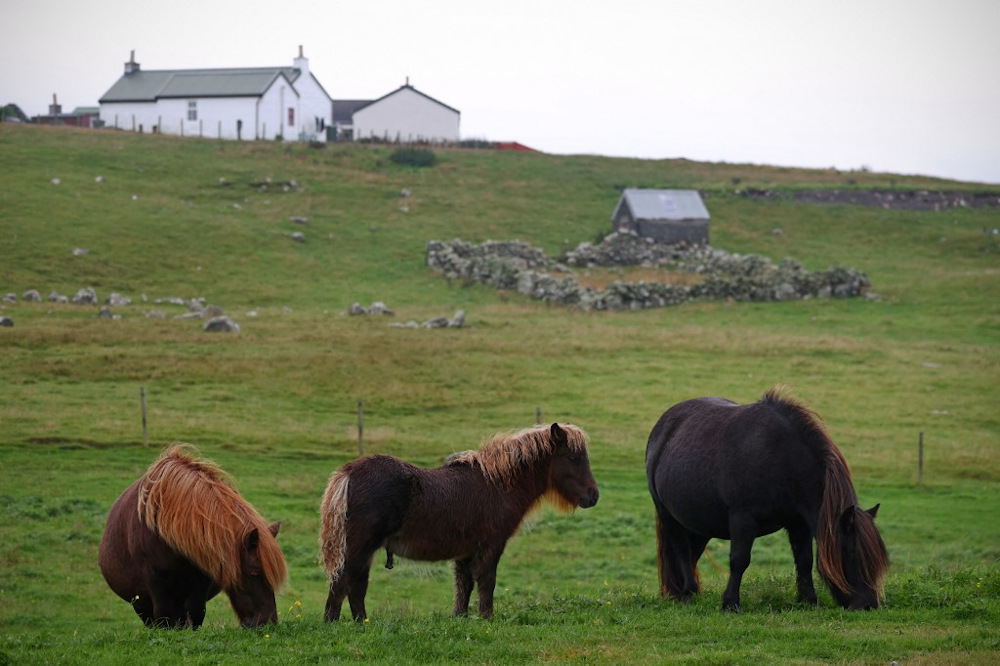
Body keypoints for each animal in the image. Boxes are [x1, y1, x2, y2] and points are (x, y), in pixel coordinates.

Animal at [99, 444, 288, 628]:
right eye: (254, 571)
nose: (268, 623)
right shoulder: (155, 581)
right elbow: (164, 618)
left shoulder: (202, 579)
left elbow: (196, 613)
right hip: (141, 604)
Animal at [319, 422, 599, 621]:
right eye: (574, 458)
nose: (593, 495)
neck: (497, 484)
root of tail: (348, 472)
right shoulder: (491, 545)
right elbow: (486, 581)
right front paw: (487, 618)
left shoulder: (466, 551)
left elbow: (464, 586)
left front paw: (461, 618)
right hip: (359, 548)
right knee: (342, 584)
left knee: (355, 587)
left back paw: (362, 623)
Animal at [645, 388, 889, 611]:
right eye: (852, 553)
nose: (869, 604)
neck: (781, 458)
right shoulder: (742, 518)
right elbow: (740, 560)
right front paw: (730, 603)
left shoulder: (798, 523)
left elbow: (804, 560)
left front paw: (808, 600)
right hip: (668, 515)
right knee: (681, 550)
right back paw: (689, 592)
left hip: (699, 524)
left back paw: (680, 592)